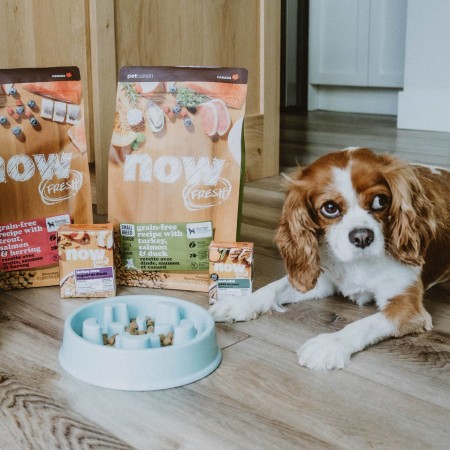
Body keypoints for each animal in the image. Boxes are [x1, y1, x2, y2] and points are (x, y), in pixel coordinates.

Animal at [211, 149, 450, 370]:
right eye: (330, 208)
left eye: (380, 201)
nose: (362, 237)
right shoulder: (323, 281)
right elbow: (272, 288)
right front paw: (239, 303)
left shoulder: (407, 308)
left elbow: (364, 324)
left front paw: (329, 344)